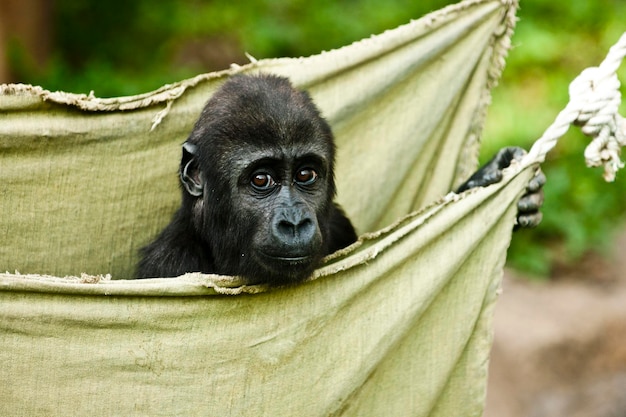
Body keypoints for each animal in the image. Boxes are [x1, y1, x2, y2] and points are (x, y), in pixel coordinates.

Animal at [136, 73, 540, 284]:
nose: (294, 222)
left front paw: (490, 178)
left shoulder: (339, 225)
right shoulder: (168, 267)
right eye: (261, 180)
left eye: (305, 174)